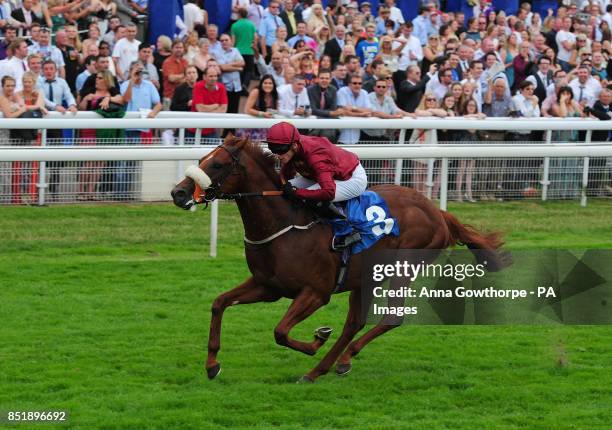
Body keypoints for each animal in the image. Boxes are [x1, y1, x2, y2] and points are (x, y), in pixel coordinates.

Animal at [172, 135, 506, 382]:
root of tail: (438, 212)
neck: (283, 225)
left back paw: (331, 363)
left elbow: (280, 332)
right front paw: (212, 365)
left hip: (402, 268)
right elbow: (219, 303)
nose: (178, 193)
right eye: (202, 160)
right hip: (366, 277)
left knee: (390, 317)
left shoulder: (316, 292)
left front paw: (316, 340)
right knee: (354, 322)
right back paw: (330, 365)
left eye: (217, 164)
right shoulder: (268, 286)